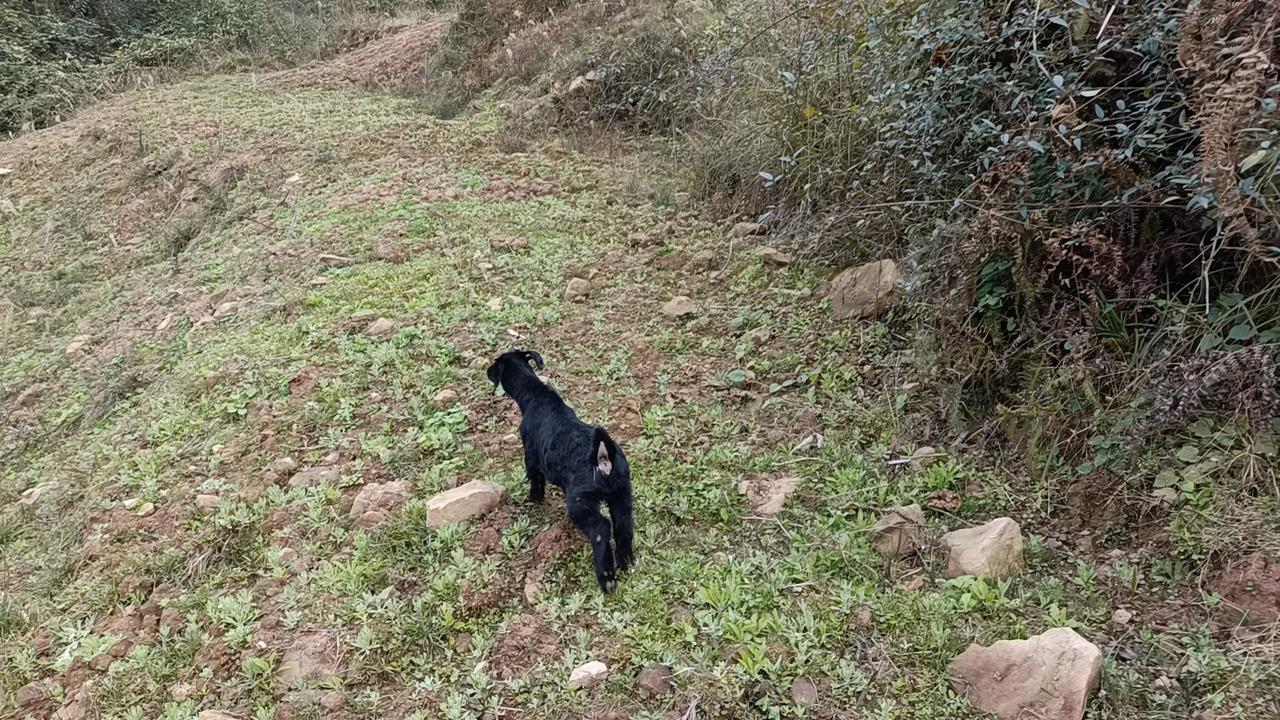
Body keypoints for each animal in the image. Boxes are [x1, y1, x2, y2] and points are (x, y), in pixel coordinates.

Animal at [483, 348, 634, 589]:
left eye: (496, 365)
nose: (487, 371)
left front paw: (533, 500)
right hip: (622, 495)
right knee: (623, 527)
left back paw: (606, 577)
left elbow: (535, 481)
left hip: (580, 503)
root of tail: (603, 458)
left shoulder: (531, 456)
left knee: (601, 529)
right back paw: (626, 562)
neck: (536, 395)